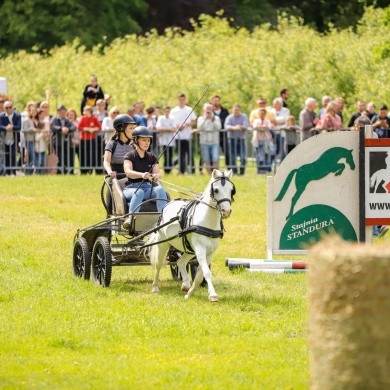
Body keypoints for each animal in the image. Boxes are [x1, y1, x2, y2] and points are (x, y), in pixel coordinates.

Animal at [145, 168, 235, 302]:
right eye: (216, 190)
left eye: (231, 190)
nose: (226, 211)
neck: (207, 221)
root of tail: (167, 205)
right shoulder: (200, 249)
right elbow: (206, 272)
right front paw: (213, 295)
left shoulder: (210, 252)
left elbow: (200, 274)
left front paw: (190, 293)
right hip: (163, 242)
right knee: (158, 264)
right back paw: (155, 287)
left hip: (189, 249)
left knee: (180, 262)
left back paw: (185, 284)